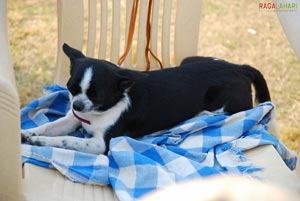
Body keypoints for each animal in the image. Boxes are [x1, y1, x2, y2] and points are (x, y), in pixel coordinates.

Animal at [21, 43, 272, 154]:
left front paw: (41, 142)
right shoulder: (73, 119)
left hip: (228, 107)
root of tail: (239, 68)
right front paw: (28, 133)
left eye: (96, 95)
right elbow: (51, 126)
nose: (77, 105)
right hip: (189, 60)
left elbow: (67, 141)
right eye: (71, 89)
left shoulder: (100, 144)